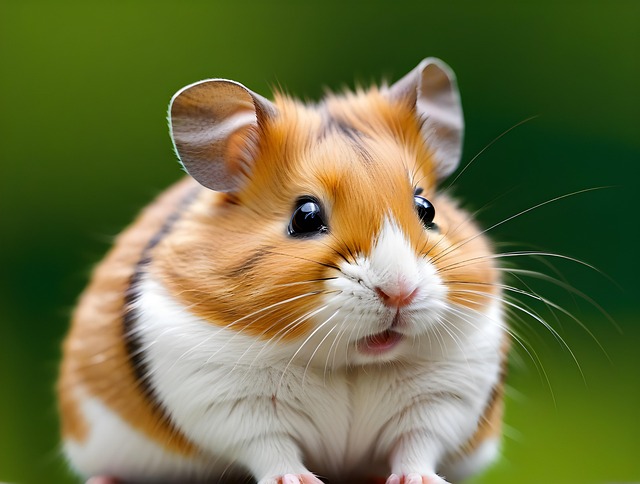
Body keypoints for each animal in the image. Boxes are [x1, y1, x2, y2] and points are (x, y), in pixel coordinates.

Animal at [58, 58, 508, 484]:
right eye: (305, 217)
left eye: (427, 209)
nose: (400, 292)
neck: (350, 363)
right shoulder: (229, 399)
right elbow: (270, 447)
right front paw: (296, 480)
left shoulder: (446, 395)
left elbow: (417, 444)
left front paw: (420, 479)